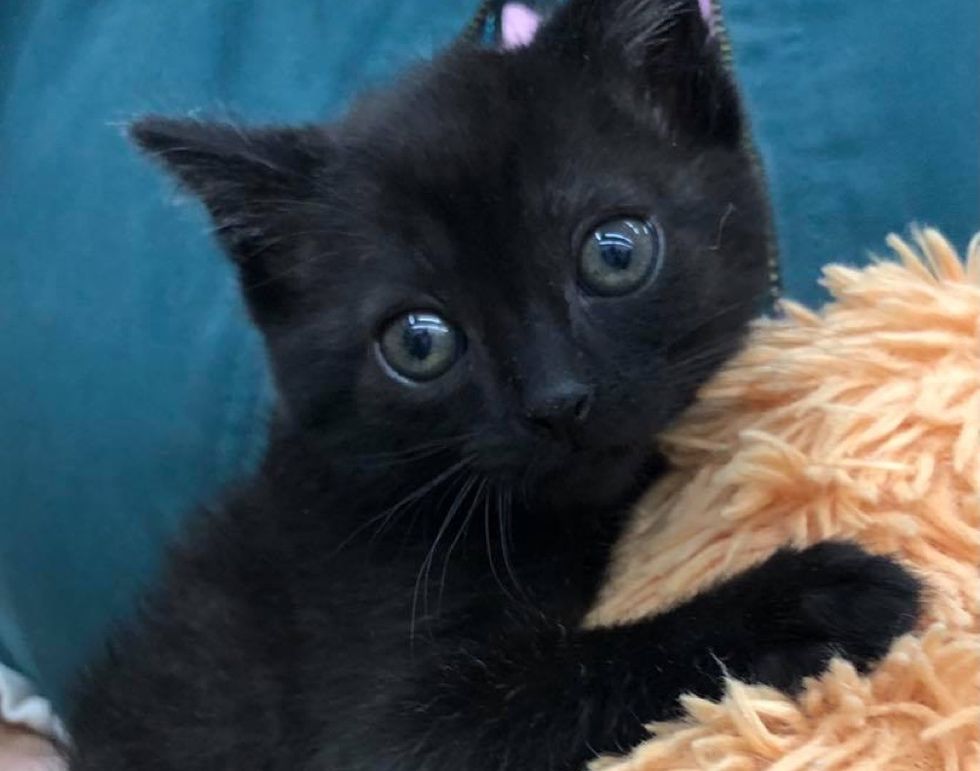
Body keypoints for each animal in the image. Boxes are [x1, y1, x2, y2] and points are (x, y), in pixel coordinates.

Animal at [67, 3, 920, 768]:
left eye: (615, 252)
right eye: (418, 342)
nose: (557, 400)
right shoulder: (375, 717)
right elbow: (566, 675)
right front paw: (805, 602)